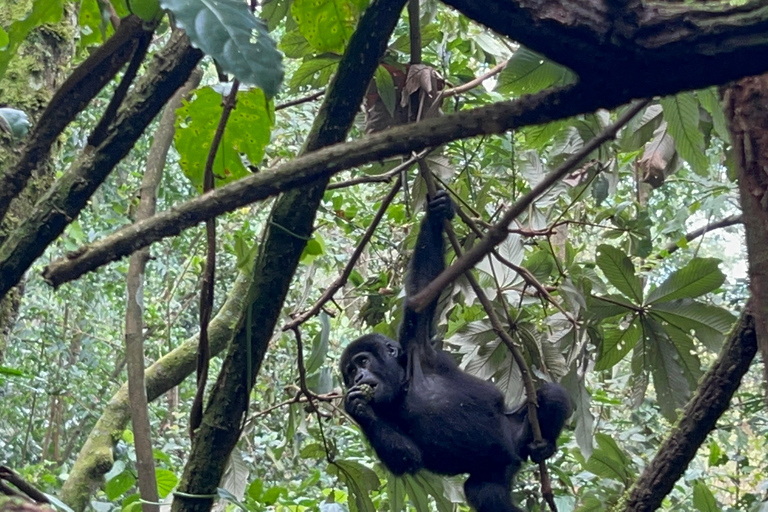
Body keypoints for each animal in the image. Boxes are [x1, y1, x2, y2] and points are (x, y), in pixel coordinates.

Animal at [340, 192, 568, 512]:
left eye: (363, 361)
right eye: (350, 372)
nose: (359, 376)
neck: (403, 384)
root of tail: (516, 454)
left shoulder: (417, 347)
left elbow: (420, 295)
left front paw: (438, 213)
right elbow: (408, 458)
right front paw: (357, 407)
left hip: (516, 430)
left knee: (552, 395)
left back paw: (545, 445)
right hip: (496, 469)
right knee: (485, 493)